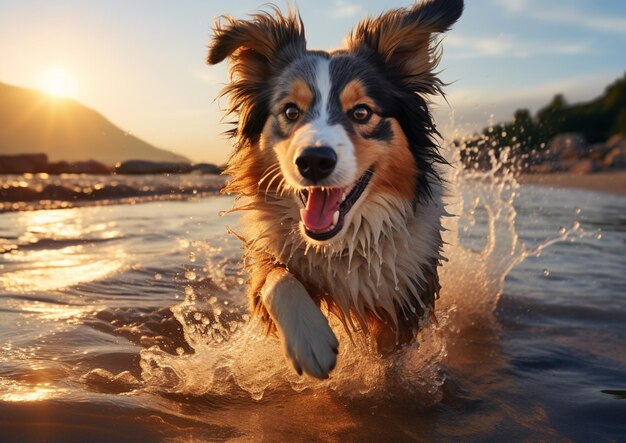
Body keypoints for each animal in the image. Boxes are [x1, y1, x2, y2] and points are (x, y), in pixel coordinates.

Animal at [207, 0, 460, 382]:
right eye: (290, 110)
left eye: (361, 112)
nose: (313, 161)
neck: (339, 246)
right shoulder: (267, 256)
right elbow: (276, 279)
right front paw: (309, 338)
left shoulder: (406, 293)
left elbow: (390, 351)